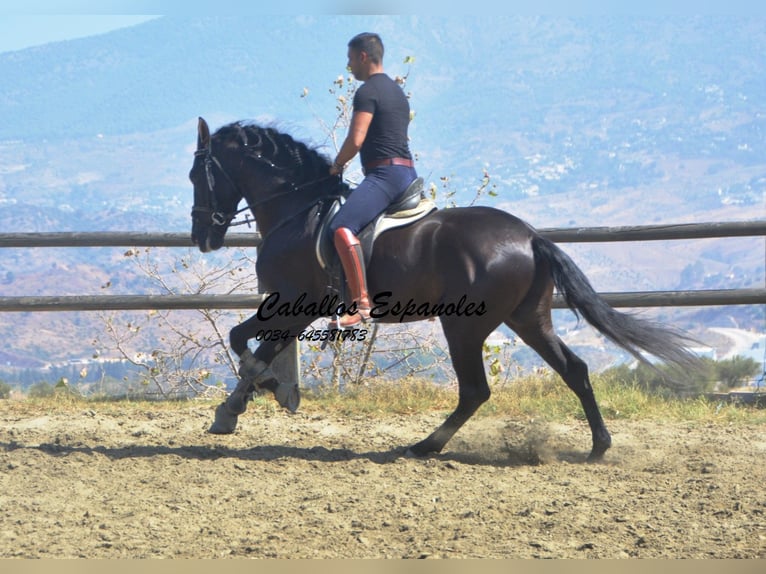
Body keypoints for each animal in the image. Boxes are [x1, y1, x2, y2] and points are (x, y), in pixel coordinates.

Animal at [190, 118, 696, 464]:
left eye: (198, 177)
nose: (202, 237)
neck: (297, 209)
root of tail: (530, 236)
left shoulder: (295, 304)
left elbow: (249, 347)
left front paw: (260, 397)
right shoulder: (293, 308)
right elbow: (256, 348)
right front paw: (240, 406)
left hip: (464, 326)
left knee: (475, 391)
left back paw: (424, 445)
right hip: (528, 317)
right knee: (574, 369)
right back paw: (598, 447)